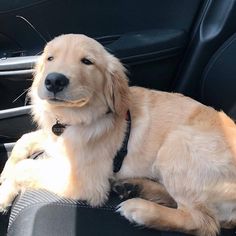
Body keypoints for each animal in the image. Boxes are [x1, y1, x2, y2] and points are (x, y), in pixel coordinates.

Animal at [0, 33, 236, 236]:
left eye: (87, 61)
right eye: (50, 58)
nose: (54, 81)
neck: (76, 118)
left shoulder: (86, 180)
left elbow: (25, 167)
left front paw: (3, 193)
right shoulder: (54, 138)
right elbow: (24, 140)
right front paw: (5, 174)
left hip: (178, 144)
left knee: (202, 221)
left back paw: (139, 208)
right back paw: (134, 186)